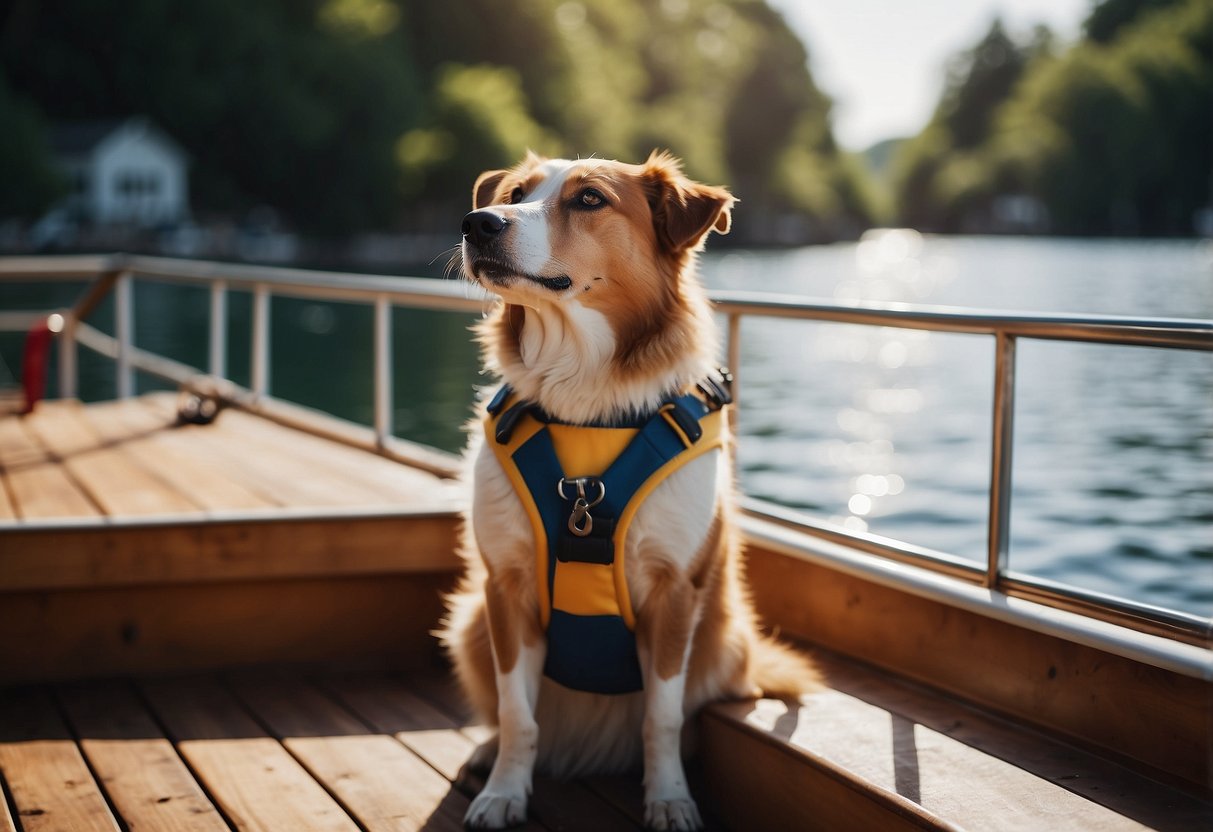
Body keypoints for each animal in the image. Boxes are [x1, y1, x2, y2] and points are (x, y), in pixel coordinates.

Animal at [441, 151, 819, 832]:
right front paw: (505, 791)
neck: (582, 398)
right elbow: (517, 714)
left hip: (723, 639)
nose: (478, 222)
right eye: (512, 194)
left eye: (589, 199)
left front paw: (669, 798)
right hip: (470, 622)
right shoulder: (504, 586)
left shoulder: (674, 594)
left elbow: (662, 718)